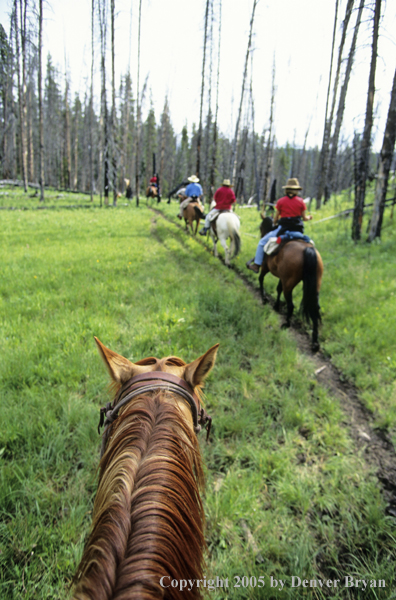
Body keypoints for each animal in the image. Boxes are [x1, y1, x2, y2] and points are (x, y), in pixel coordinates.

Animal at [258, 219, 324, 352]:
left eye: (260, 227)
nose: (261, 235)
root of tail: (307, 250)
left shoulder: (266, 267)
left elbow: (261, 279)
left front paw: (264, 298)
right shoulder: (282, 277)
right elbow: (278, 289)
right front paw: (276, 306)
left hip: (288, 283)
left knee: (291, 305)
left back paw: (286, 324)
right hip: (314, 285)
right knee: (315, 308)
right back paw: (315, 342)